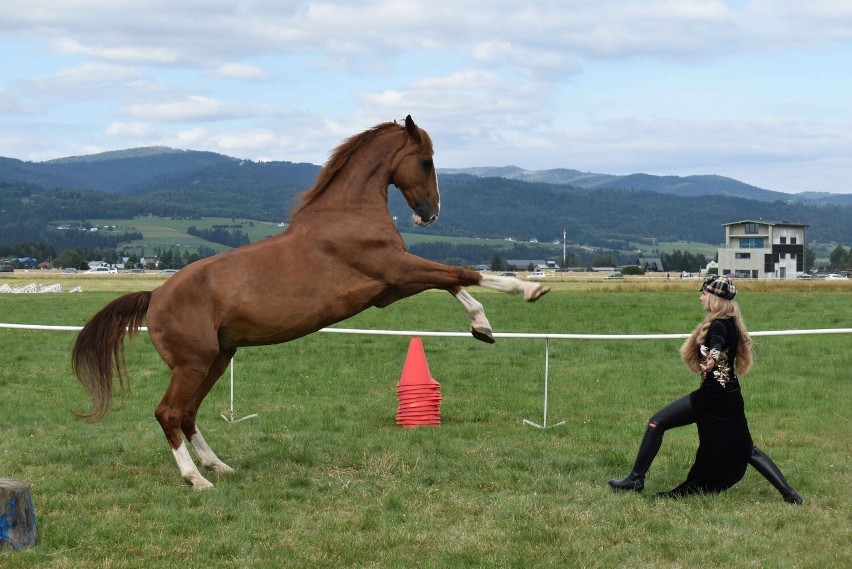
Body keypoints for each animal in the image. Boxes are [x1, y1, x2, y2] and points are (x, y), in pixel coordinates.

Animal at [73, 115, 552, 488]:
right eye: (426, 160)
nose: (429, 214)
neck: (348, 214)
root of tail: (154, 295)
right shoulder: (396, 270)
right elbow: (460, 273)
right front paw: (528, 291)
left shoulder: (390, 287)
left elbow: (452, 281)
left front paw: (482, 327)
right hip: (194, 363)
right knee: (169, 413)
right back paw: (196, 479)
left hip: (218, 359)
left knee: (188, 414)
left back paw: (219, 466)